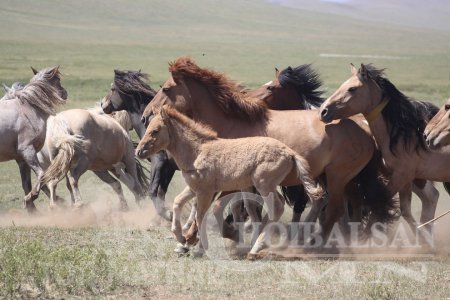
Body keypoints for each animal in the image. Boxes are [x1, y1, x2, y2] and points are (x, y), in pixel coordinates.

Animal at [0, 66, 67, 211]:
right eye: (58, 79)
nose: (65, 93)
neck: (28, 108)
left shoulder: (21, 159)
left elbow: (27, 184)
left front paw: (31, 207)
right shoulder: (27, 151)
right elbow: (42, 175)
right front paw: (30, 199)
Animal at [102, 70, 174, 220]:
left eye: (112, 89)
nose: (102, 104)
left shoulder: (159, 162)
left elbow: (153, 191)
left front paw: (166, 214)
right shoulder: (168, 166)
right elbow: (160, 192)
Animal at [135, 105, 322, 255]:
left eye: (155, 131)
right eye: (148, 128)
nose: (139, 151)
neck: (197, 152)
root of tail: (290, 152)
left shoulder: (205, 192)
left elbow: (200, 216)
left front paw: (200, 248)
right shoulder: (194, 188)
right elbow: (177, 202)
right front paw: (181, 238)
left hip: (263, 184)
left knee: (276, 207)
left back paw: (257, 246)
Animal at [142, 56, 394, 244]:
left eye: (166, 89)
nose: (146, 116)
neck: (231, 123)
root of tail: (364, 129)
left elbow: (222, 206)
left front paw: (217, 235)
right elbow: (236, 207)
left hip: (337, 177)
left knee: (334, 209)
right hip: (341, 180)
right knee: (349, 207)